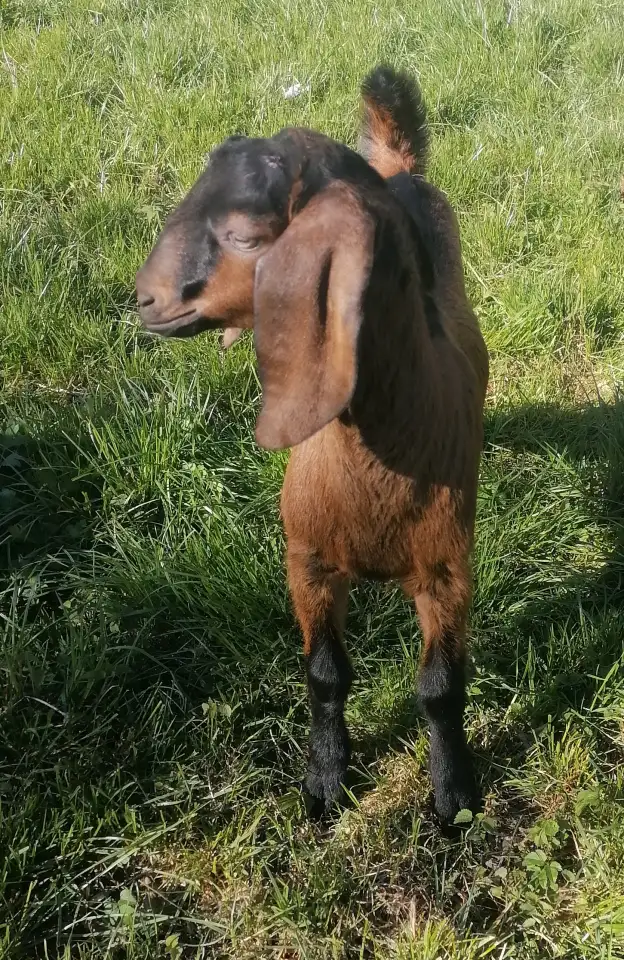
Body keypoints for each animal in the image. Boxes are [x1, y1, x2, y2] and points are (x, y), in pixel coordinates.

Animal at [136, 66, 489, 824]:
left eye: (243, 237)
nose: (144, 299)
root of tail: (401, 167)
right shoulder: (309, 560)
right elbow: (325, 673)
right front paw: (326, 778)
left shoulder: (449, 571)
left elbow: (441, 686)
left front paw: (454, 795)